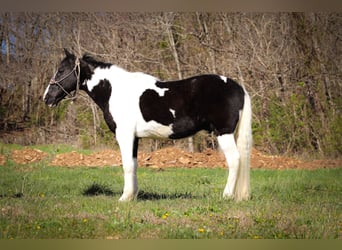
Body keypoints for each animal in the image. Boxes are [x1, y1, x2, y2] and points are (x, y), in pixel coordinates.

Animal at [42, 48, 252, 201]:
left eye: (61, 71)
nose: (46, 98)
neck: (114, 90)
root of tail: (238, 88)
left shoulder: (124, 135)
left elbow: (126, 165)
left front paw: (124, 198)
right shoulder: (134, 138)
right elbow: (134, 165)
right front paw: (133, 196)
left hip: (223, 133)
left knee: (235, 160)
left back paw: (226, 196)